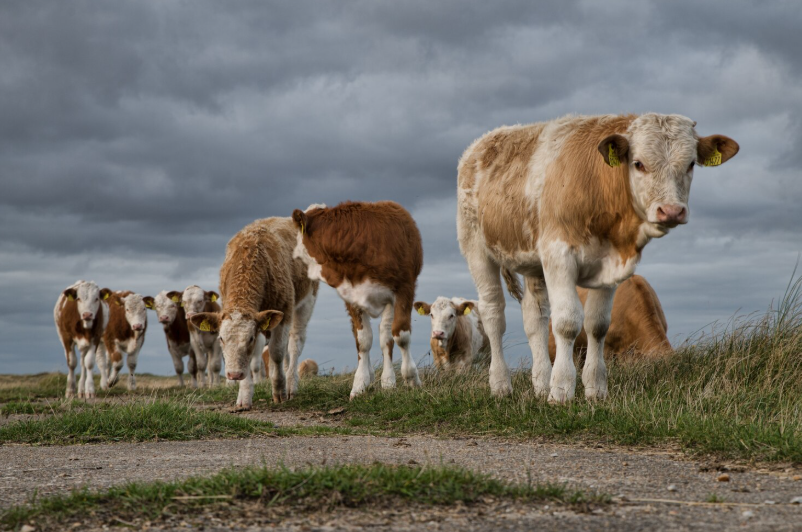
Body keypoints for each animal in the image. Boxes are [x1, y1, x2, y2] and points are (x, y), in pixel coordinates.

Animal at [187, 217, 319, 408]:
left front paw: (279, 390)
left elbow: (277, 352)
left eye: (250, 338)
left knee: (295, 344)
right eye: (221, 338)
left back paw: (291, 384)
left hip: (307, 301)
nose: (234, 375)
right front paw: (244, 395)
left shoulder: (284, 310)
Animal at [292, 201, 423, 399]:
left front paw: (410, 378)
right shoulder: (352, 297)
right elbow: (363, 341)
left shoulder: (403, 290)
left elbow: (400, 336)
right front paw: (360, 383)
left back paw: (388, 380)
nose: (293, 253)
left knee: (386, 337)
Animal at [457, 113, 738, 402]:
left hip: (533, 264)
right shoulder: (558, 255)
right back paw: (501, 385)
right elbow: (568, 322)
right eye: (638, 163)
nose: (671, 211)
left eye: (691, 164)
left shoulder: (609, 267)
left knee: (536, 317)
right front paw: (561, 390)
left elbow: (598, 324)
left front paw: (594, 388)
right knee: (493, 314)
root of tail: (483, 142)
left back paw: (541, 384)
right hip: (476, 248)